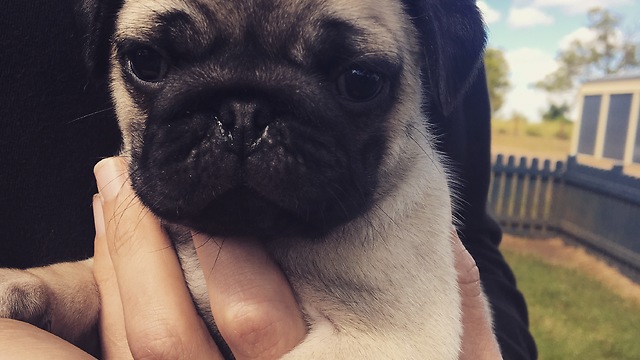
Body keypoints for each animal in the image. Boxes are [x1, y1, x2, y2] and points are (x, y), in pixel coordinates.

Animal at [0, 0, 484, 358]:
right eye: (147, 62)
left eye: (361, 81)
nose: (243, 113)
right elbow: (81, 279)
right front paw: (25, 285)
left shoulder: (387, 337)